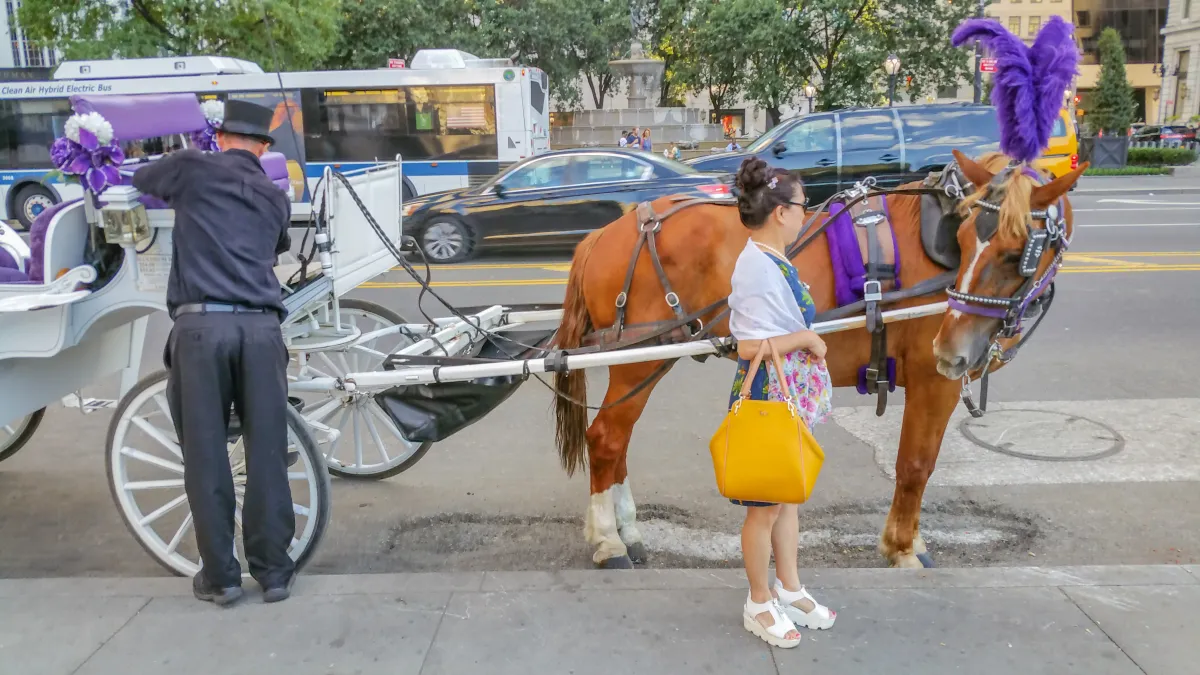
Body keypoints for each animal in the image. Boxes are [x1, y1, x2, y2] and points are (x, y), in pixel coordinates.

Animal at [552, 151, 1089, 566]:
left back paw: (627, 531)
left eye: (1017, 253)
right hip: (639, 357)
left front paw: (908, 540)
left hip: (652, 358)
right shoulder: (931, 380)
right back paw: (608, 540)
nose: (950, 349)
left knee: (618, 443)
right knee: (606, 439)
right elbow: (916, 463)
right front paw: (903, 547)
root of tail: (604, 234)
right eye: (964, 239)